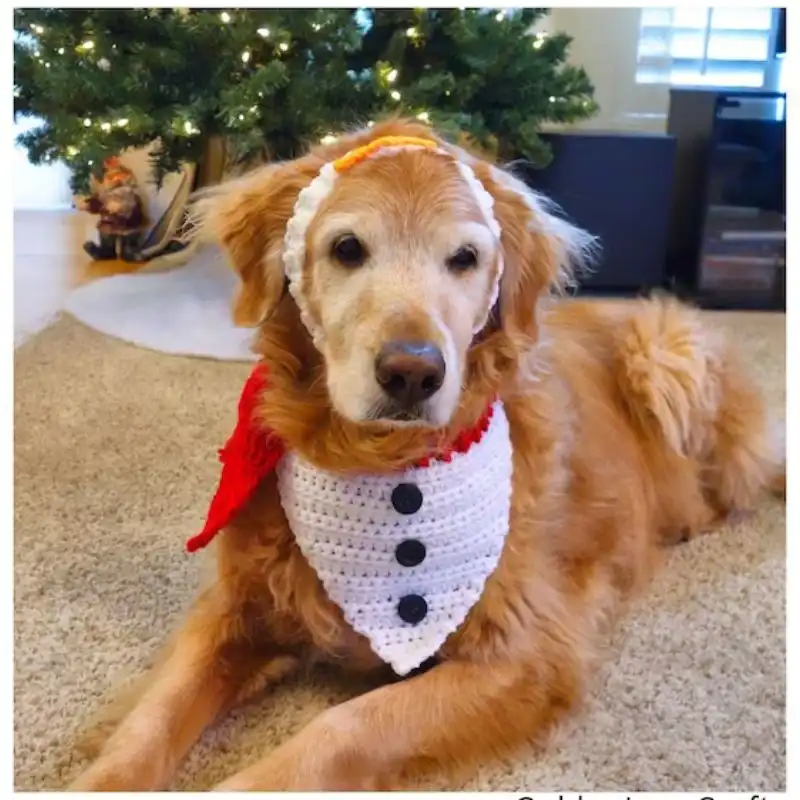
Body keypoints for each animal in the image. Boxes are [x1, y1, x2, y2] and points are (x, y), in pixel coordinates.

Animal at [67, 119, 780, 788]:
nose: (412, 373)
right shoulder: (233, 609)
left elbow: (344, 725)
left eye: (464, 258)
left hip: (665, 353)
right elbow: (152, 718)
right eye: (347, 248)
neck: (380, 463)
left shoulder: (528, 655)